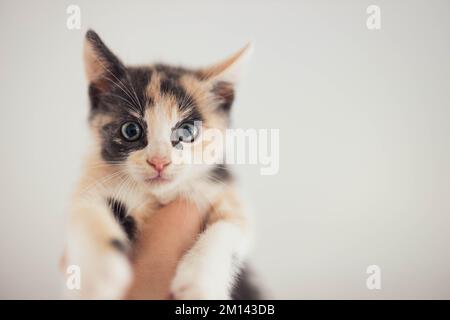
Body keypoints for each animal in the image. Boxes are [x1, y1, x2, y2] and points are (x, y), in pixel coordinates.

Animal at [64, 30, 258, 300]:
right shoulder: (94, 183)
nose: (159, 161)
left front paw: (198, 284)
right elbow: (86, 211)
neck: (159, 196)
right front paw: (99, 273)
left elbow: (229, 228)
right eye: (131, 130)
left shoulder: (223, 190)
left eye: (187, 131)